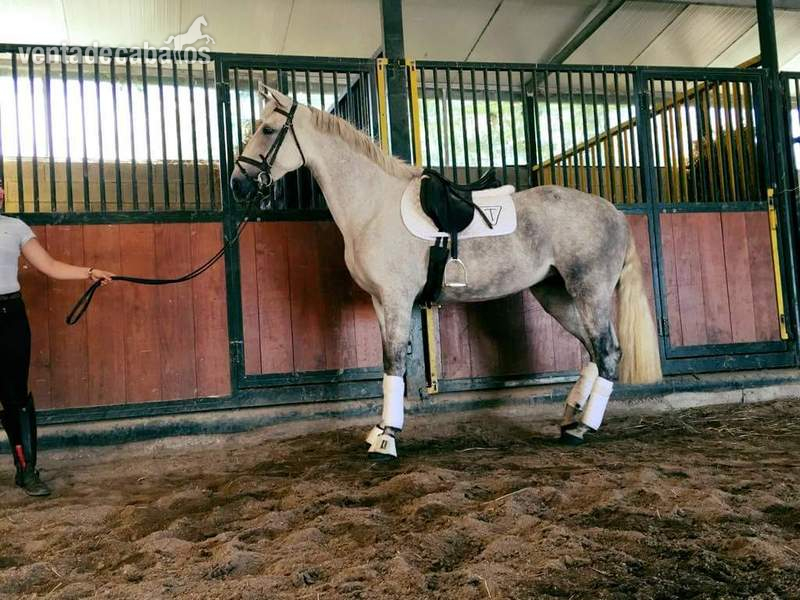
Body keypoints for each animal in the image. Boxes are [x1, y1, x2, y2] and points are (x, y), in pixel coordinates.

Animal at [230, 86, 662, 459]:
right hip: (555, 293)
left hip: (589, 291)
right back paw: (572, 416)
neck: (373, 205)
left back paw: (583, 427)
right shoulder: (380, 302)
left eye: (267, 129)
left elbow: (394, 363)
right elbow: (391, 363)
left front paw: (386, 440)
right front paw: (380, 430)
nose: (238, 184)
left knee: (608, 351)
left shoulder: (396, 300)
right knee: (592, 350)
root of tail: (613, 212)